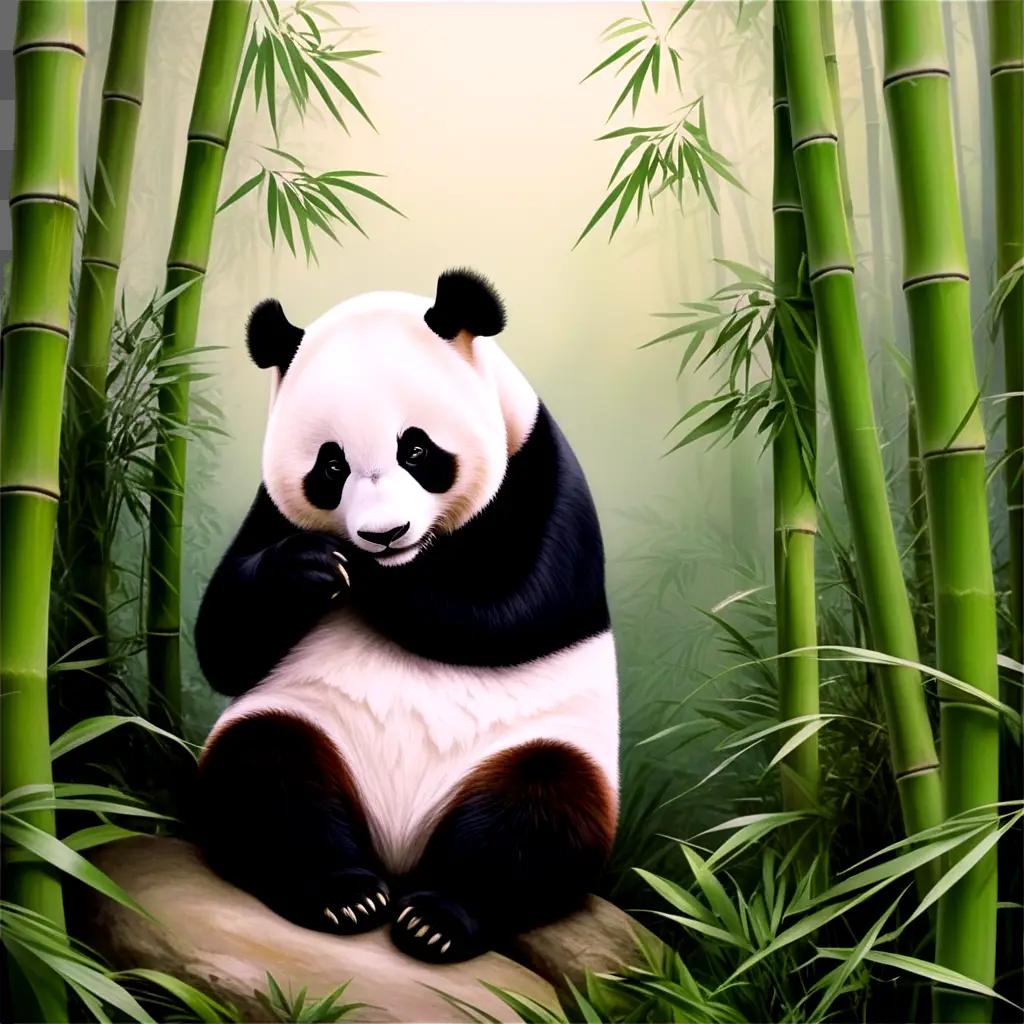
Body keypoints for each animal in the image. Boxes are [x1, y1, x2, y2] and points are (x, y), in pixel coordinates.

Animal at [195, 268, 618, 962]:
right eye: (331, 464)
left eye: (417, 449)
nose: (384, 535)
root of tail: (399, 849)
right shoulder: (269, 512)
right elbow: (224, 640)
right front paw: (309, 568)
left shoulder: (543, 473)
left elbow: (516, 609)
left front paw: (373, 581)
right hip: (303, 720)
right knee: (264, 773)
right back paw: (344, 892)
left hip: (543, 748)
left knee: (539, 812)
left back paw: (438, 918)